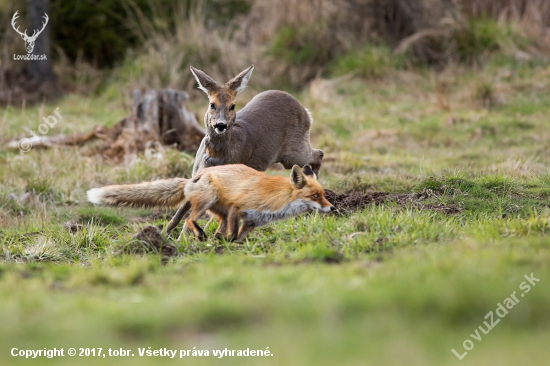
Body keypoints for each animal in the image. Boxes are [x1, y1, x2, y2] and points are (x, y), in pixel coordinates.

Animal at [88, 164, 334, 242]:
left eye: (323, 194)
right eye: (315, 196)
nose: (332, 207)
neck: (278, 198)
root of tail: (194, 176)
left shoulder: (252, 222)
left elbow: (239, 237)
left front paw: (232, 248)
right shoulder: (238, 207)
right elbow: (233, 234)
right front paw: (227, 246)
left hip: (219, 212)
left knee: (211, 227)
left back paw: (211, 239)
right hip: (209, 199)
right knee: (190, 219)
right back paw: (200, 235)